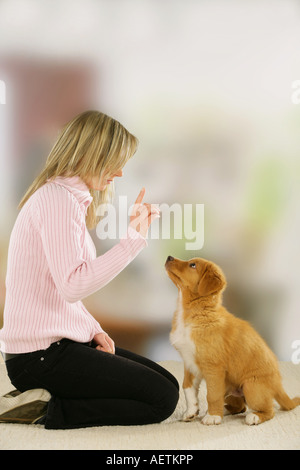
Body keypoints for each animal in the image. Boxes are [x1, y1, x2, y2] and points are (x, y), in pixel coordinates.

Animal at [165, 258, 298, 426]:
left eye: (192, 265)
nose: (169, 257)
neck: (193, 312)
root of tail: (278, 385)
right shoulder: (189, 362)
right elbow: (187, 389)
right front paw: (191, 412)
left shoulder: (213, 368)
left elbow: (212, 394)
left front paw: (213, 417)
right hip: (230, 387)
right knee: (239, 406)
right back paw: (225, 410)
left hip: (251, 387)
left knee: (268, 409)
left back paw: (253, 416)